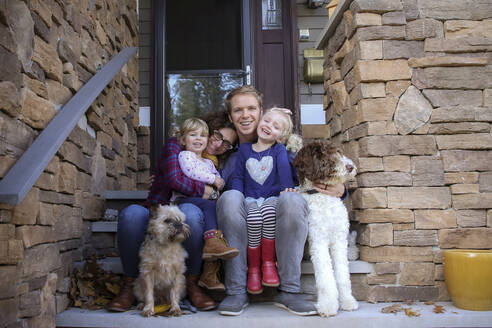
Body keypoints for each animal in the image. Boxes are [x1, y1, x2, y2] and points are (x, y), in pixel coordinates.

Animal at [292, 139, 358, 318]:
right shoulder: (318, 241)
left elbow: (343, 274)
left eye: (339, 152)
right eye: (324, 155)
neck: (324, 197)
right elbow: (326, 277)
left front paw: (348, 301)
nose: (350, 166)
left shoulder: (339, 240)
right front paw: (328, 306)